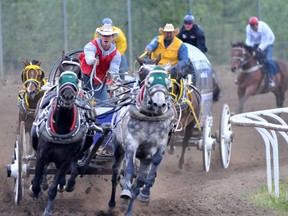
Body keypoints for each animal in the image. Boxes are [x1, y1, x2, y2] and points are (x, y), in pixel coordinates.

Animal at [107, 66, 173, 215]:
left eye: (168, 83)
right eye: (148, 82)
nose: (159, 104)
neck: (149, 117)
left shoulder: (159, 146)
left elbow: (152, 167)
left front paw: (145, 193)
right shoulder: (131, 143)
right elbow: (129, 169)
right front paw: (125, 191)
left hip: (143, 159)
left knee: (138, 182)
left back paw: (129, 210)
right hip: (118, 148)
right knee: (115, 174)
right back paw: (112, 203)